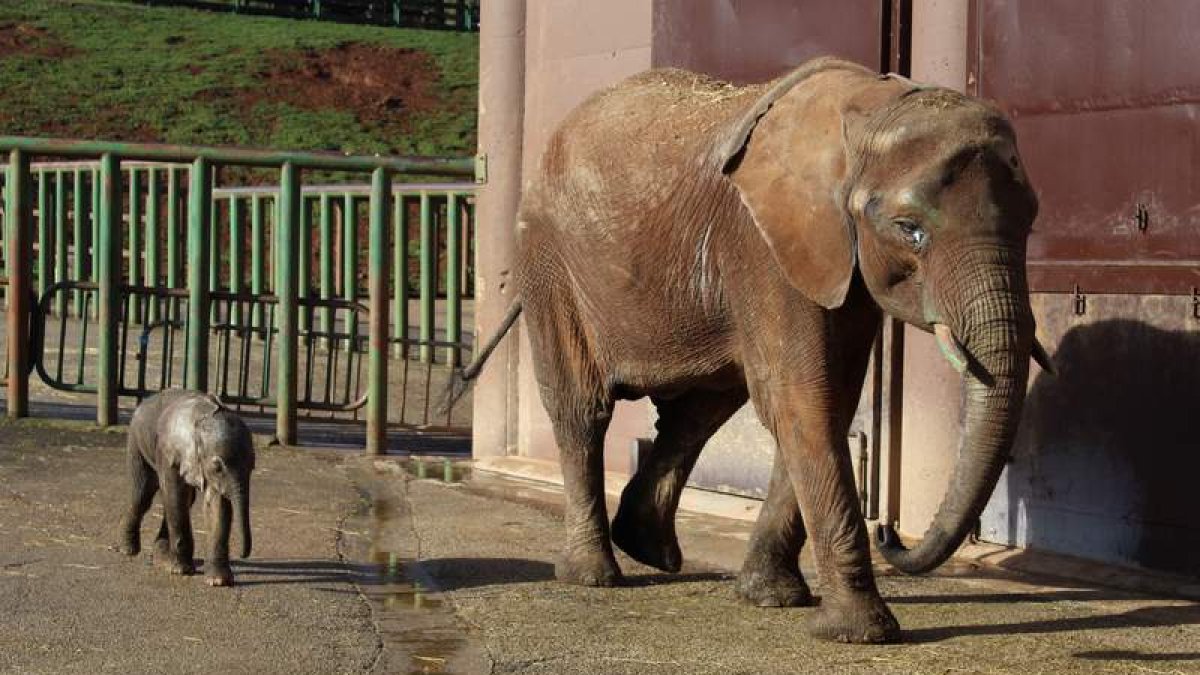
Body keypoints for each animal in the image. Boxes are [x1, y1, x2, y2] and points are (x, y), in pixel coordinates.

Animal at [119, 389, 255, 583]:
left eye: (252, 467)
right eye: (217, 467)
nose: (243, 554)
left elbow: (216, 505)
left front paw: (218, 581)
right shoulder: (170, 454)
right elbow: (175, 495)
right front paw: (181, 570)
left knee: (184, 501)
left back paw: (162, 557)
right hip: (136, 441)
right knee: (142, 494)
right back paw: (128, 550)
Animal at [458, 55, 1051, 638]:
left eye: (1030, 222)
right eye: (910, 229)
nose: (891, 533)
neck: (869, 109)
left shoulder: (837, 258)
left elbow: (827, 402)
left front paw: (773, 599)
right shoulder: (762, 245)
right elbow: (802, 399)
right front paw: (861, 631)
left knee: (702, 408)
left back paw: (646, 546)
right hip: (549, 260)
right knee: (584, 410)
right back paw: (594, 574)